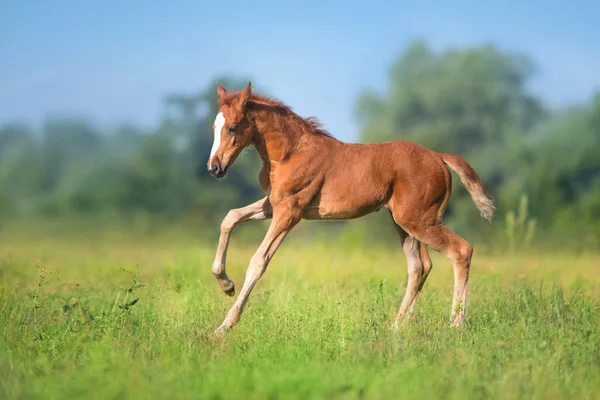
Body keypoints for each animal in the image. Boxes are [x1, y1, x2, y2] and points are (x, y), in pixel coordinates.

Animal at [209, 83, 494, 336]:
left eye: (232, 127)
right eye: (214, 127)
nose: (214, 167)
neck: (289, 152)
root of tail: (439, 157)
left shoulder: (290, 211)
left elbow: (258, 261)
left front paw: (224, 326)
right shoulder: (273, 204)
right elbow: (230, 217)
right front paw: (226, 284)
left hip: (418, 220)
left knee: (461, 251)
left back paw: (455, 324)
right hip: (407, 222)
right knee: (419, 266)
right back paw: (397, 327)